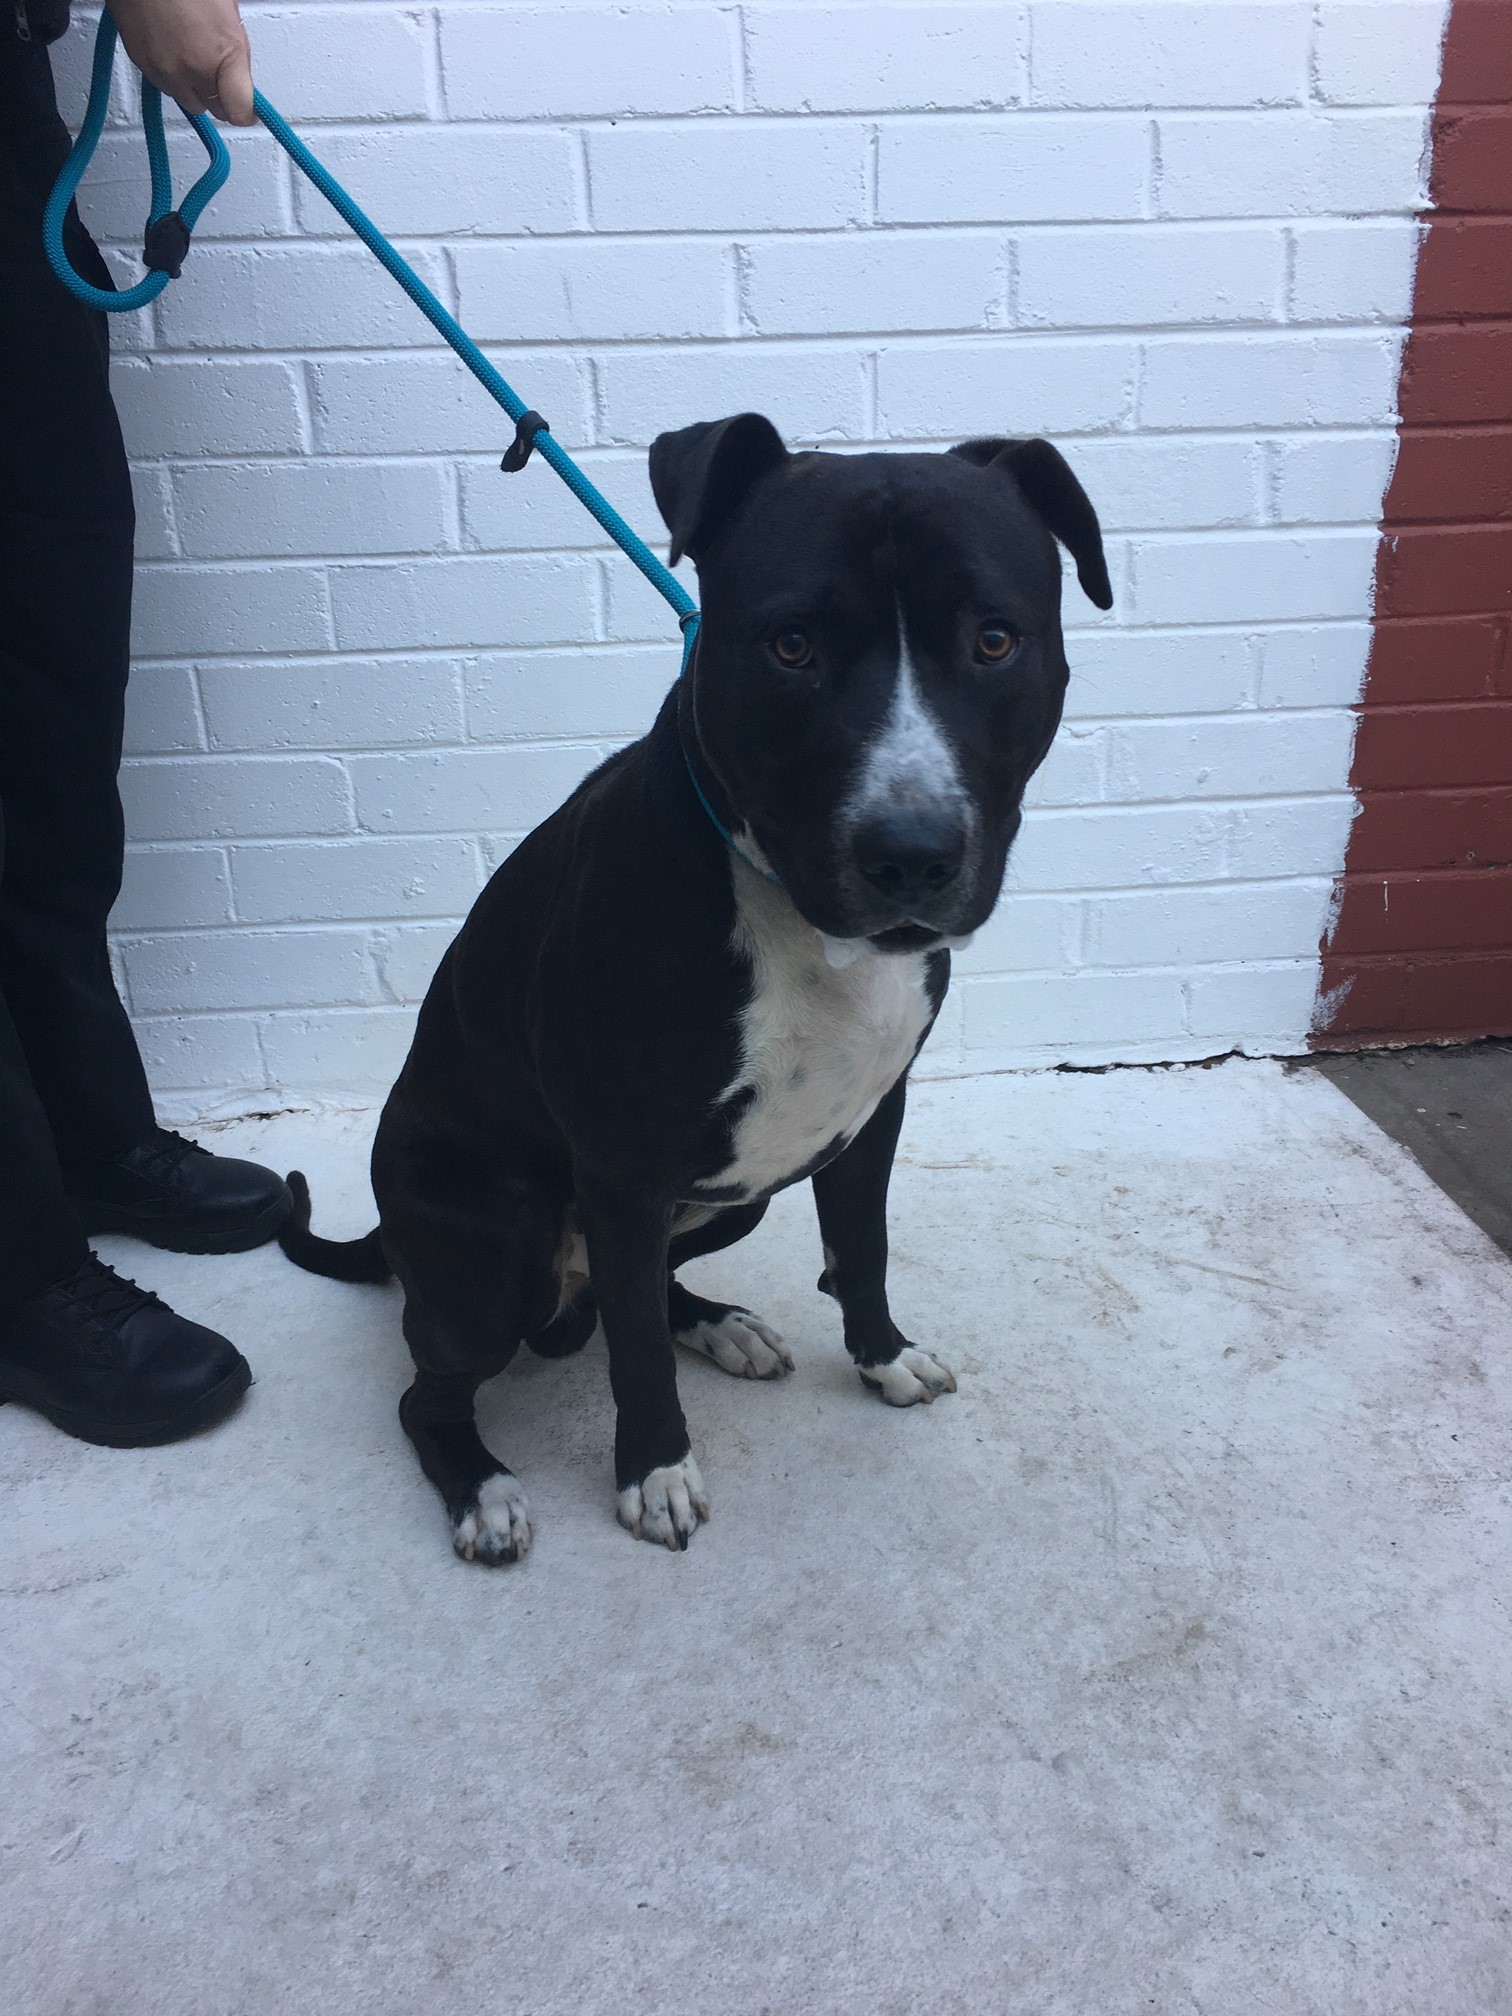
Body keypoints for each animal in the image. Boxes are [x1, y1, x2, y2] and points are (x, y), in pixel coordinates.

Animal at [278, 413, 1111, 1563]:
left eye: (994, 640)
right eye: (791, 645)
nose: (910, 856)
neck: (796, 921)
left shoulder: (869, 1117)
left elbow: (860, 1246)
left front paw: (882, 1356)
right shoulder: (623, 1169)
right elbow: (634, 1356)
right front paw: (656, 1471)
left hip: (733, 1199)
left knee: (646, 1290)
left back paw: (720, 1325)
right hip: (498, 1251)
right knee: (434, 1390)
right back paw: (484, 1490)